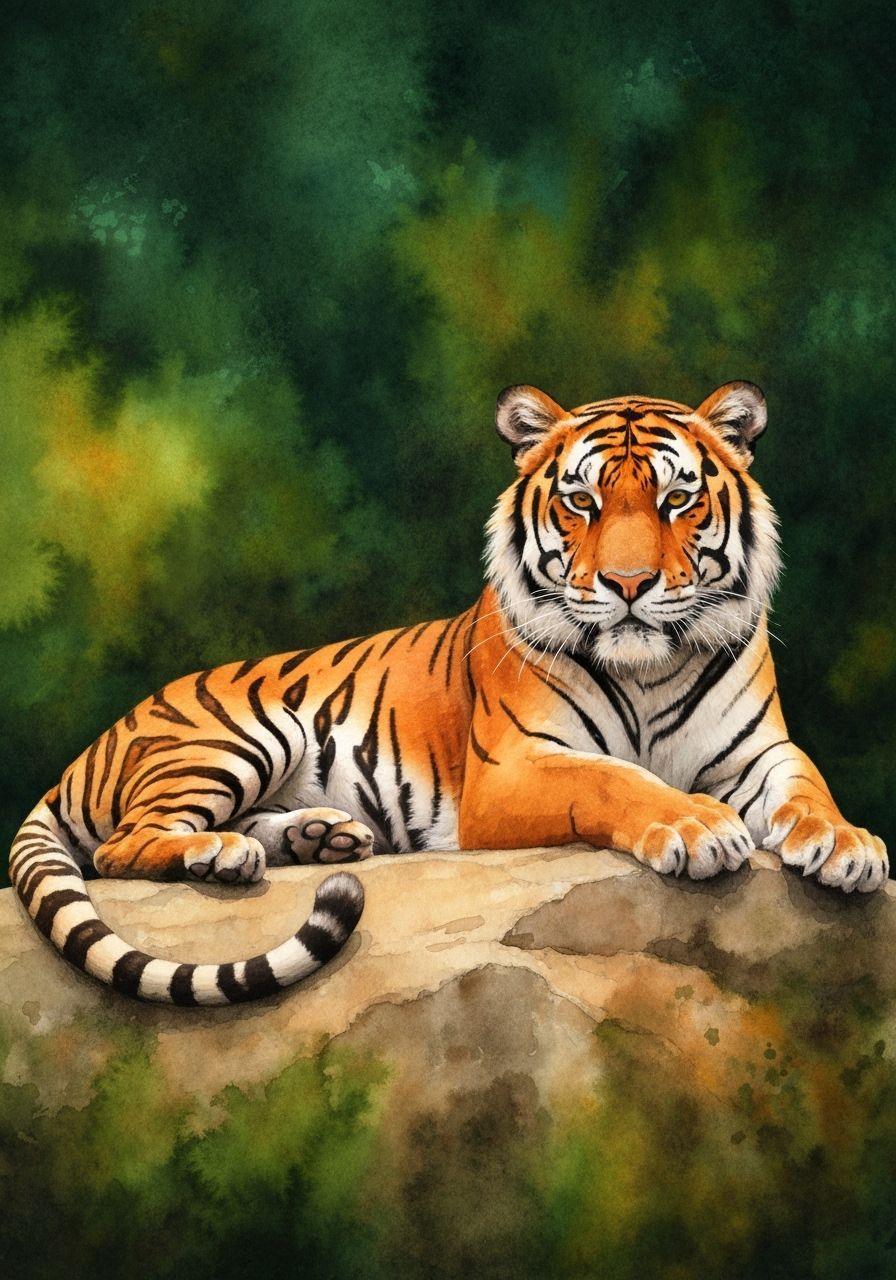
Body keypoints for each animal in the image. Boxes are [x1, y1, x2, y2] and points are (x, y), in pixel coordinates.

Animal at [10, 381, 888, 1006]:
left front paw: (847, 845)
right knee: (124, 846)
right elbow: (615, 779)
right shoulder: (512, 770)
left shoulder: (758, 751)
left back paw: (318, 839)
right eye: (581, 501)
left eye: (678, 499)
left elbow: (807, 785)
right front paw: (696, 825)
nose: (629, 584)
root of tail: (88, 750)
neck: (647, 668)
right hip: (240, 734)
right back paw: (222, 853)